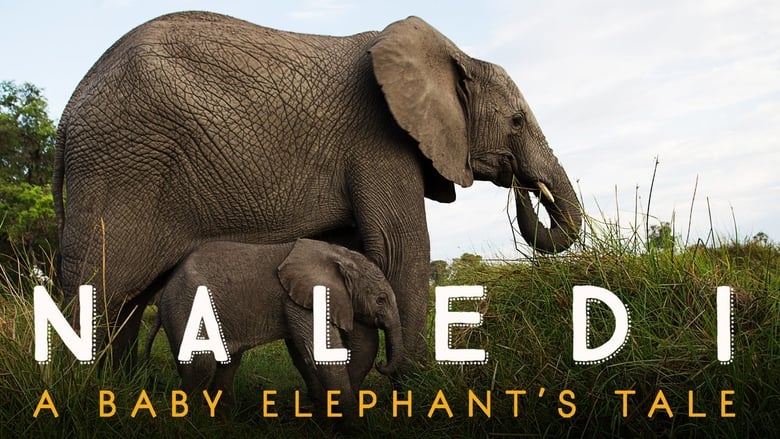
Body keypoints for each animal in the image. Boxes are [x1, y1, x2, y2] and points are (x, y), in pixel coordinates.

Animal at [53, 11, 583, 371]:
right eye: (517, 121)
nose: (524, 187)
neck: (454, 55)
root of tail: (66, 114)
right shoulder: (377, 138)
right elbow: (401, 249)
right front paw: (411, 387)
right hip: (119, 166)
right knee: (97, 292)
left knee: (126, 302)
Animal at [150, 238, 403, 422]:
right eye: (381, 300)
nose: (382, 364)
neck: (338, 254)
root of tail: (163, 292)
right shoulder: (302, 299)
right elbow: (319, 355)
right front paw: (353, 426)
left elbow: (303, 356)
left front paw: (320, 414)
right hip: (185, 308)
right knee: (201, 364)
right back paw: (192, 420)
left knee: (228, 363)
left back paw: (223, 420)